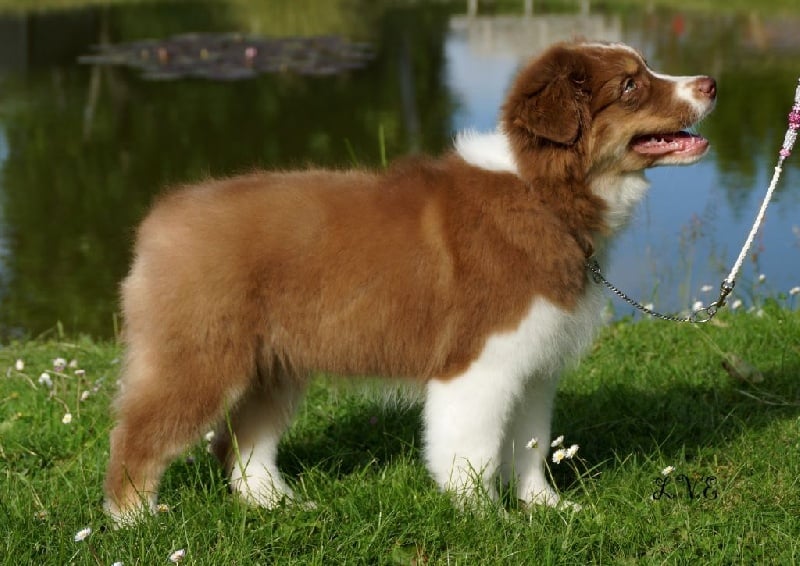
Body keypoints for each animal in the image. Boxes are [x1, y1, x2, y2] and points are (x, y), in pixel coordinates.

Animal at [104, 40, 716, 522]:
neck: (544, 192)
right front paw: (489, 520)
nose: (711, 83)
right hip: (199, 356)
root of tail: (163, 215)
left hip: (272, 365)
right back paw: (135, 522)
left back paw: (279, 504)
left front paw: (548, 508)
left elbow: (530, 444)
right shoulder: (480, 361)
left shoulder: (534, 362)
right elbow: (473, 449)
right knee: (138, 436)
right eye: (632, 85)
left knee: (242, 443)